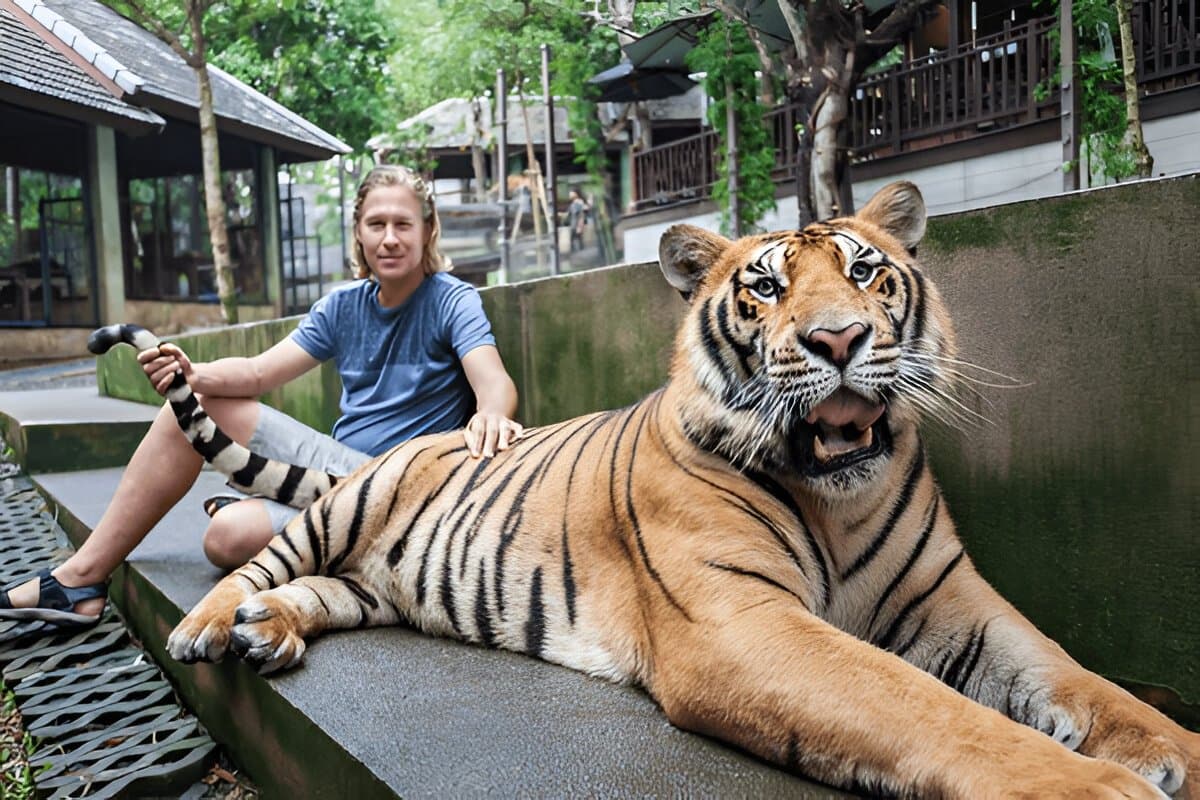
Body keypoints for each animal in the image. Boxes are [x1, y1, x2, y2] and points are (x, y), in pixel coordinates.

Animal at [90, 181, 1198, 798]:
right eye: (765, 286)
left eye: (867, 271)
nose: (840, 340)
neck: (841, 497)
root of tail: (390, 451)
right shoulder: (742, 621)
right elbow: (932, 710)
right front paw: (1098, 790)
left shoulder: (955, 604)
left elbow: (1079, 683)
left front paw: (1172, 752)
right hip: (345, 507)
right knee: (261, 561)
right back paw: (218, 624)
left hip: (379, 582)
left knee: (320, 591)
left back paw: (272, 632)